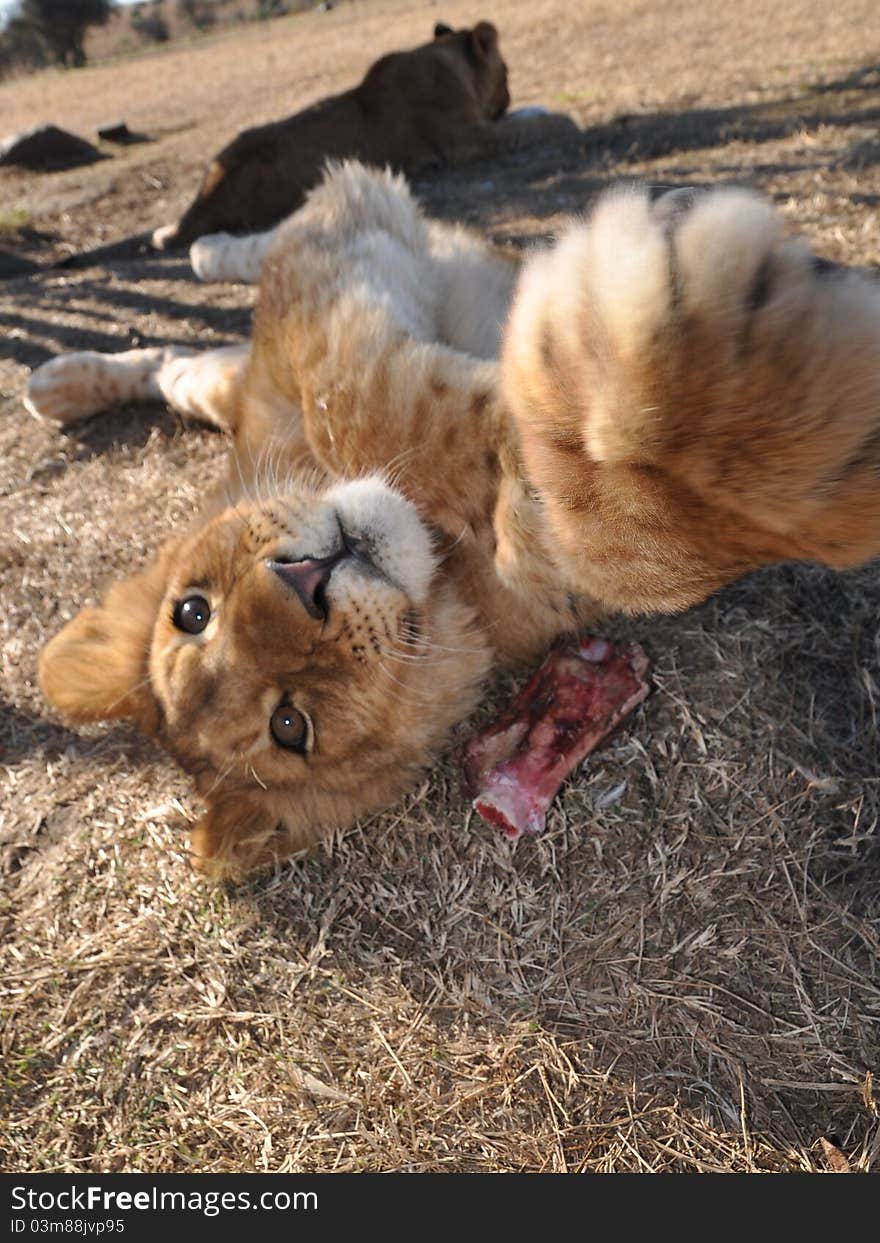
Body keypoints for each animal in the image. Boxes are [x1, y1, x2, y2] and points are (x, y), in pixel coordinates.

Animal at [29, 160, 880, 875]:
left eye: (191, 611)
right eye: (290, 727)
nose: (308, 580)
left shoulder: (322, 296)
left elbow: (365, 404)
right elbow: (622, 545)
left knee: (210, 327)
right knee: (179, 363)